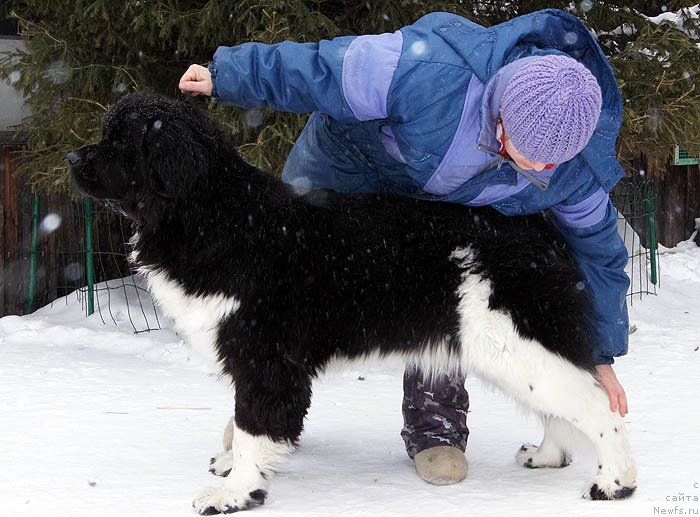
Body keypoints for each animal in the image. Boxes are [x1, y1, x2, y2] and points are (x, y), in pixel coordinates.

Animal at [68, 92, 636, 512]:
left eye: (121, 142)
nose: (72, 157)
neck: (212, 215)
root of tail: (543, 230)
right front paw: (234, 471)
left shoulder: (267, 358)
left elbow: (253, 425)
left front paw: (233, 493)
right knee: (564, 405)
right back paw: (548, 456)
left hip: (516, 342)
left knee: (596, 406)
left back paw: (615, 482)